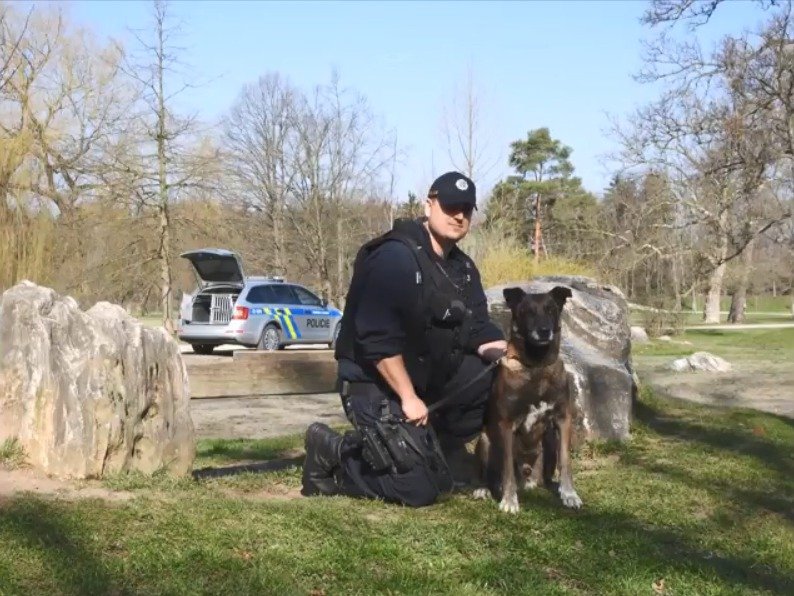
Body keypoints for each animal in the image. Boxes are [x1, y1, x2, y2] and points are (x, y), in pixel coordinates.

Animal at [470, 286, 580, 516]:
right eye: (527, 311)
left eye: (551, 309)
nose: (545, 331)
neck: (536, 365)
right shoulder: (506, 424)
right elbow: (508, 468)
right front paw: (509, 501)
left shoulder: (563, 418)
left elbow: (566, 461)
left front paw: (569, 494)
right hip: (485, 440)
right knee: (488, 473)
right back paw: (483, 489)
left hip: (549, 443)